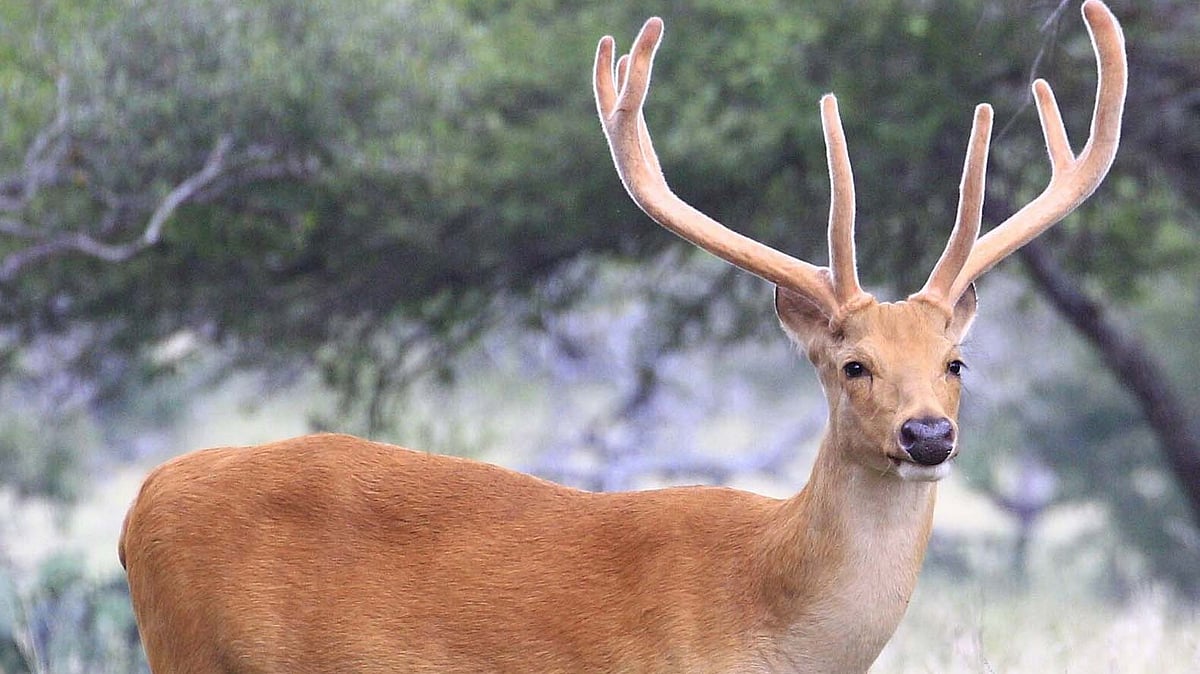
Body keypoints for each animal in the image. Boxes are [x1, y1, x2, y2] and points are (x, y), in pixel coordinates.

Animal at [119, 2, 1126, 672]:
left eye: (956, 361)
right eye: (853, 364)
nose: (927, 434)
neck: (765, 622)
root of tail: (138, 509)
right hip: (192, 655)